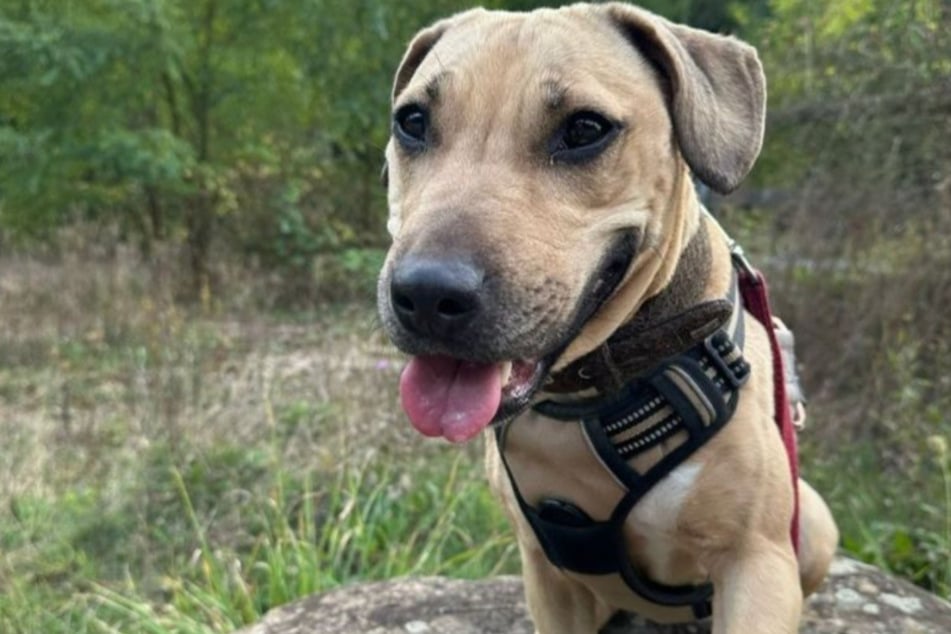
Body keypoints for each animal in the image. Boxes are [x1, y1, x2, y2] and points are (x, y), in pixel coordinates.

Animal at [380, 2, 840, 628]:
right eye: (412, 121)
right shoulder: (547, 574)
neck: (600, 388)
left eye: (584, 129)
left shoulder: (757, 564)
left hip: (812, 520)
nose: (427, 295)